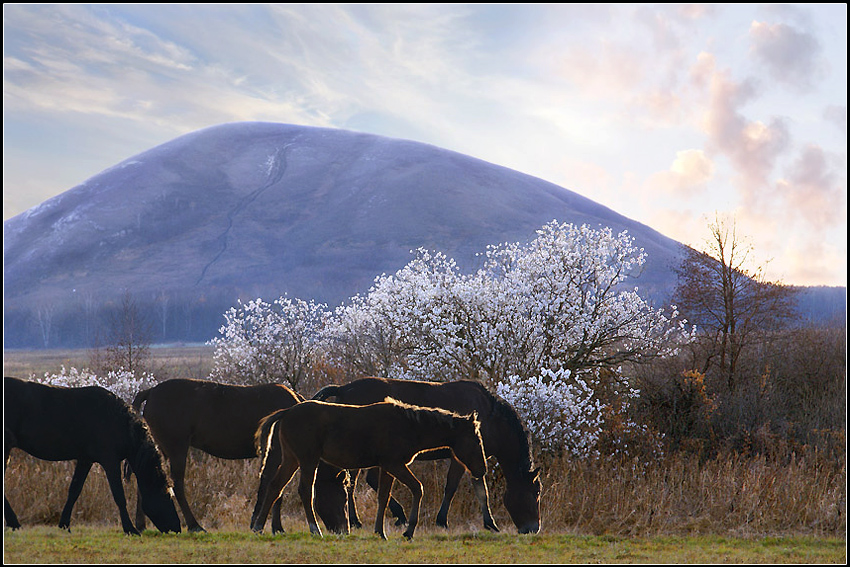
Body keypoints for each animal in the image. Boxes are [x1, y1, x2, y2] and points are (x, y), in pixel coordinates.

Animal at [4, 378, 180, 536]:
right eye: (166, 494)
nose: (177, 528)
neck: (118, 421)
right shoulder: (110, 461)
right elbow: (119, 496)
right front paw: (130, 529)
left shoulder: (85, 460)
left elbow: (74, 490)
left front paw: (64, 525)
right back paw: (15, 524)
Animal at [128, 380, 344, 536]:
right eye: (341, 492)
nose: (343, 527)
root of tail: (151, 391)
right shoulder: (277, 453)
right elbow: (273, 486)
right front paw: (269, 525)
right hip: (176, 448)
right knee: (177, 485)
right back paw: (194, 525)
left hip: (162, 448)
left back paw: (141, 524)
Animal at [252, 400, 486, 540]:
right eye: (476, 440)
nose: (482, 470)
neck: (410, 427)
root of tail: (286, 413)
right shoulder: (394, 464)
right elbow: (417, 488)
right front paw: (408, 531)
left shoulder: (386, 467)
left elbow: (383, 496)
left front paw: (380, 532)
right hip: (308, 460)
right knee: (305, 491)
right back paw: (314, 529)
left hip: (291, 459)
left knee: (275, 487)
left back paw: (259, 527)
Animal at [314, 380, 540, 536]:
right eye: (535, 493)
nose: (533, 528)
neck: (491, 418)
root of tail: (343, 388)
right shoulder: (460, 457)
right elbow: (454, 487)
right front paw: (442, 521)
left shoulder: (474, 459)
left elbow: (479, 488)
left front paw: (490, 523)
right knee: (352, 483)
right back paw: (360, 520)